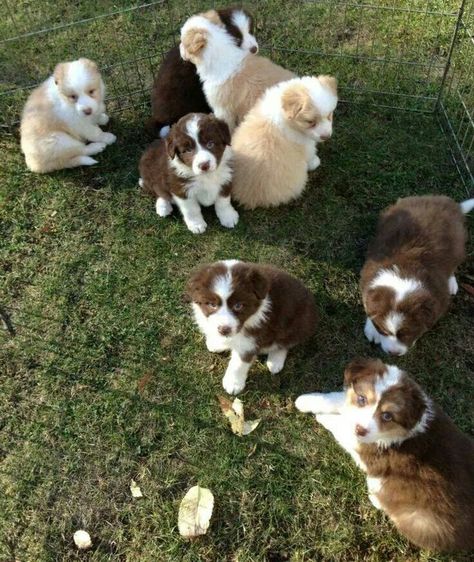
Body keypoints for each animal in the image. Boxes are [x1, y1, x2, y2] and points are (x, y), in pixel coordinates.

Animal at [187, 260, 316, 394]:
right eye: (212, 305)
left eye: (238, 305)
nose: (224, 330)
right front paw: (218, 342)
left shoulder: (251, 340)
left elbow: (239, 363)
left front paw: (233, 384)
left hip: (297, 325)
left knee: (284, 343)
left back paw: (275, 361)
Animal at [230, 76, 336, 210]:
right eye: (310, 122)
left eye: (329, 115)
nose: (326, 136)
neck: (284, 113)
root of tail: (247, 199)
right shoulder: (306, 144)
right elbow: (311, 155)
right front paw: (315, 162)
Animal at [296, 356, 474, 548]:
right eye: (362, 399)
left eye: (387, 416)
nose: (360, 429)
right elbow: (339, 399)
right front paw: (305, 400)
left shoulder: (362, 444)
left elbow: (342, 424)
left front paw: (322, 416)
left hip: (417, 518)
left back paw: (375, 497)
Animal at [362, 196, 472, 354]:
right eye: (384, 331)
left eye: (408, 333)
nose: (393, 353)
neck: (402, 275)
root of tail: (449, 203)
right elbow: (367, 304)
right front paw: (372, 329)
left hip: (458, 245)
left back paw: (451, 283)